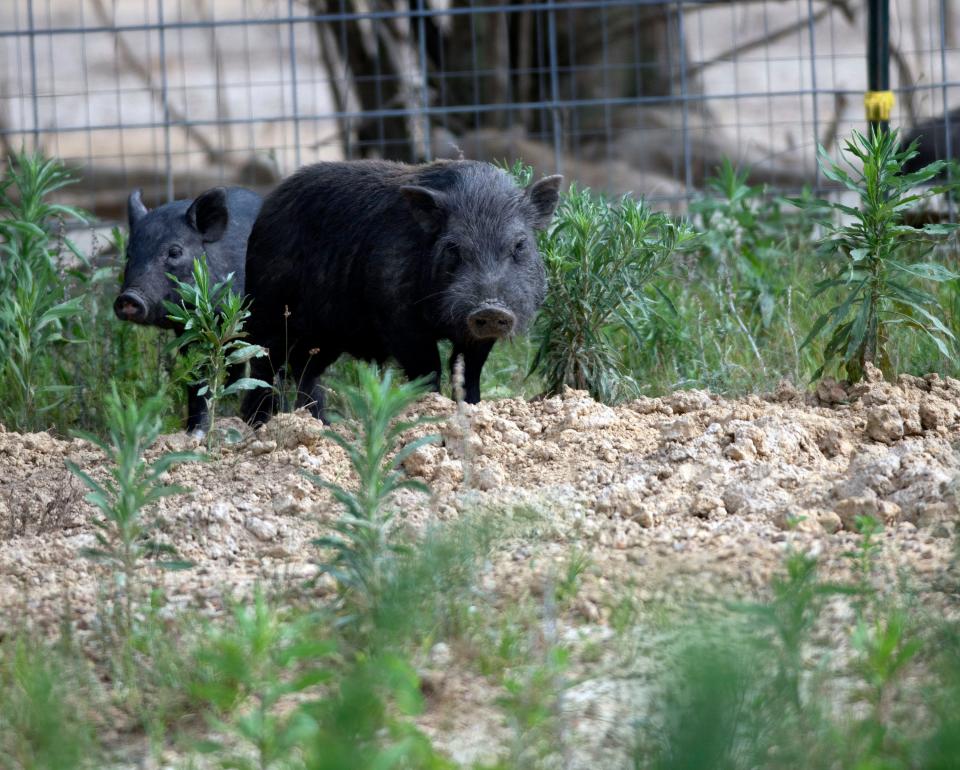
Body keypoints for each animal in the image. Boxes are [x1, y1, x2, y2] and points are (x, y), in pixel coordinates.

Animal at [118, 186, 264, 436]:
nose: (128, 298)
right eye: (129, 255)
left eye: (175, 252)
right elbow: (197, 377)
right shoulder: (187, 332)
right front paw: (194, 433)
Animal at [237, 159, 564, 424]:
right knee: (263, 365)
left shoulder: (475, 337)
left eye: (520, 245)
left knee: (305, 370)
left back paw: (321, 423)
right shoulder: (397, 317)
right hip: (267, 308)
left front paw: (472, 407)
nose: (491, 308)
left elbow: (468, 371)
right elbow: (428, 368)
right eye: (453, 247)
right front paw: (430, 410)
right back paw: (258, 424)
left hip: (326, 336)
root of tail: (267, 207)